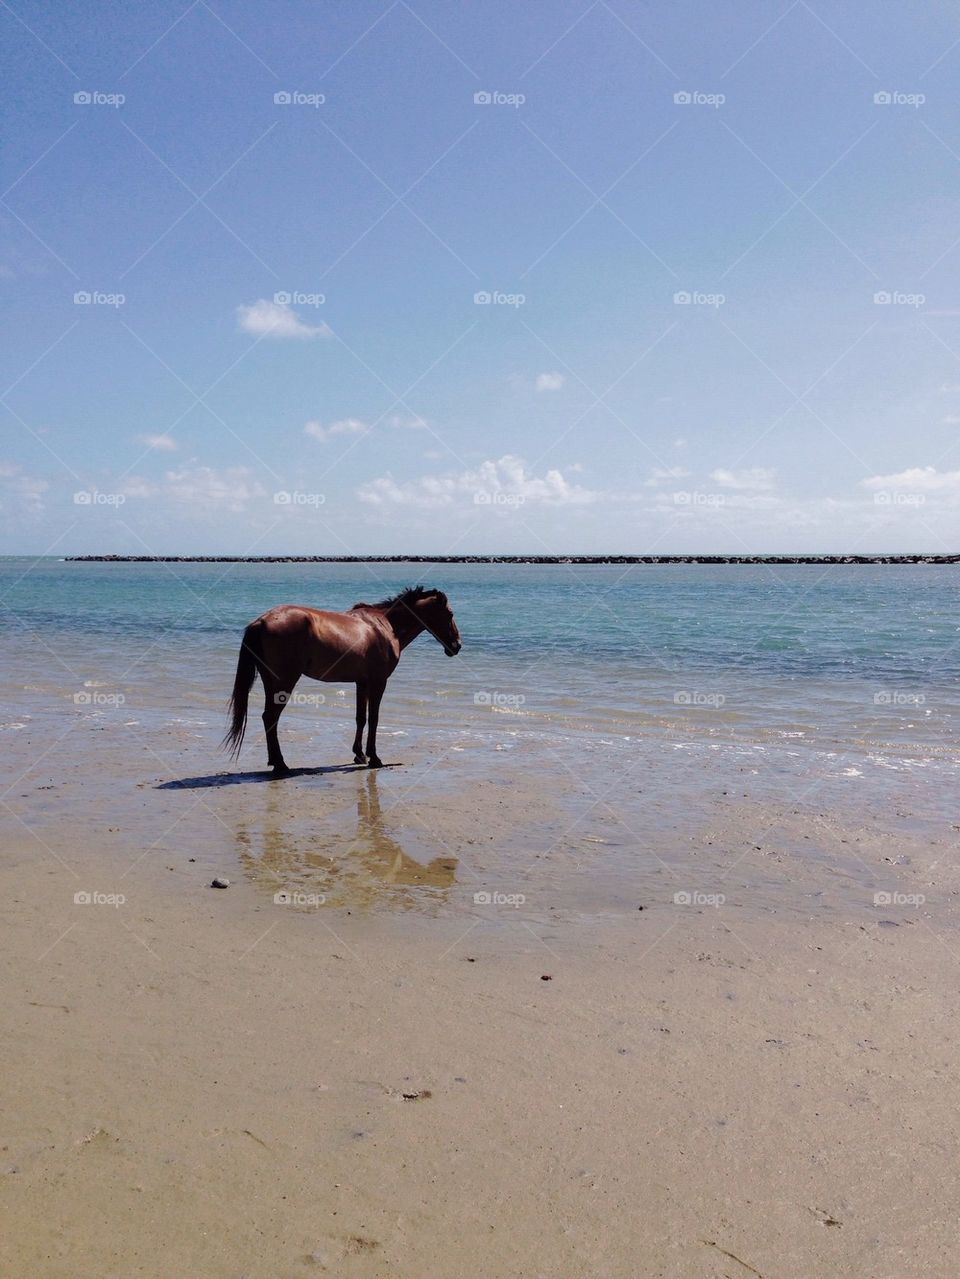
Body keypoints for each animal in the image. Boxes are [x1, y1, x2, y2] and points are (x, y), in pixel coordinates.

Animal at [222, 585, 462, 774]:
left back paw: (275, 761)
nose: (457, 646)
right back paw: (280, 764)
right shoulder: (378, 682)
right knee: (271, 717)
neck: (384, 626)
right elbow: (374, 718)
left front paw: (359, 755)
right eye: (449, 613)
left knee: (267, 717)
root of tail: (261, 622)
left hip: (270, 681)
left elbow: (361, 718)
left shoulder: (361, 682)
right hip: (285, 681)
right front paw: (374, 758)